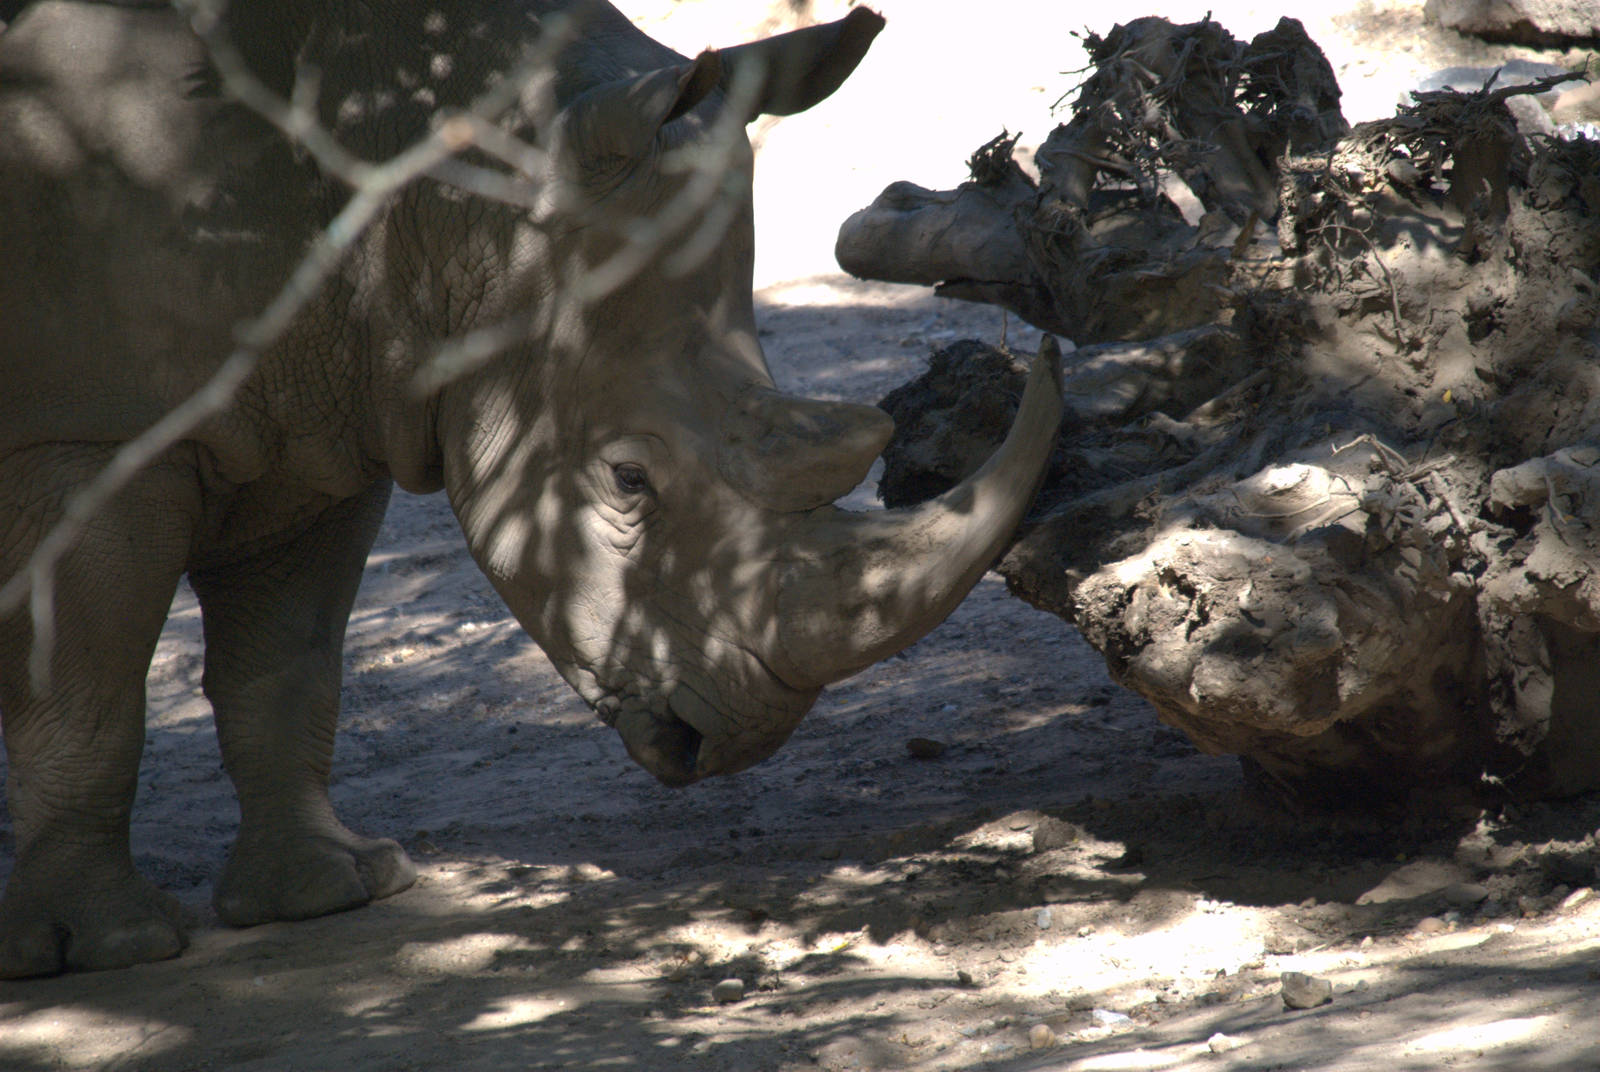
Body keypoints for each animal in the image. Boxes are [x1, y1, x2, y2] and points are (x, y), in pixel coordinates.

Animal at [0, 0, 1062, 977]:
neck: (445, 187)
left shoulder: (325, 415)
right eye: (628, 479)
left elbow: (288, 664)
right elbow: (87, 685)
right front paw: (109, 950)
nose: (744, 736)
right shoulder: (87, 435)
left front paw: (329, 892)